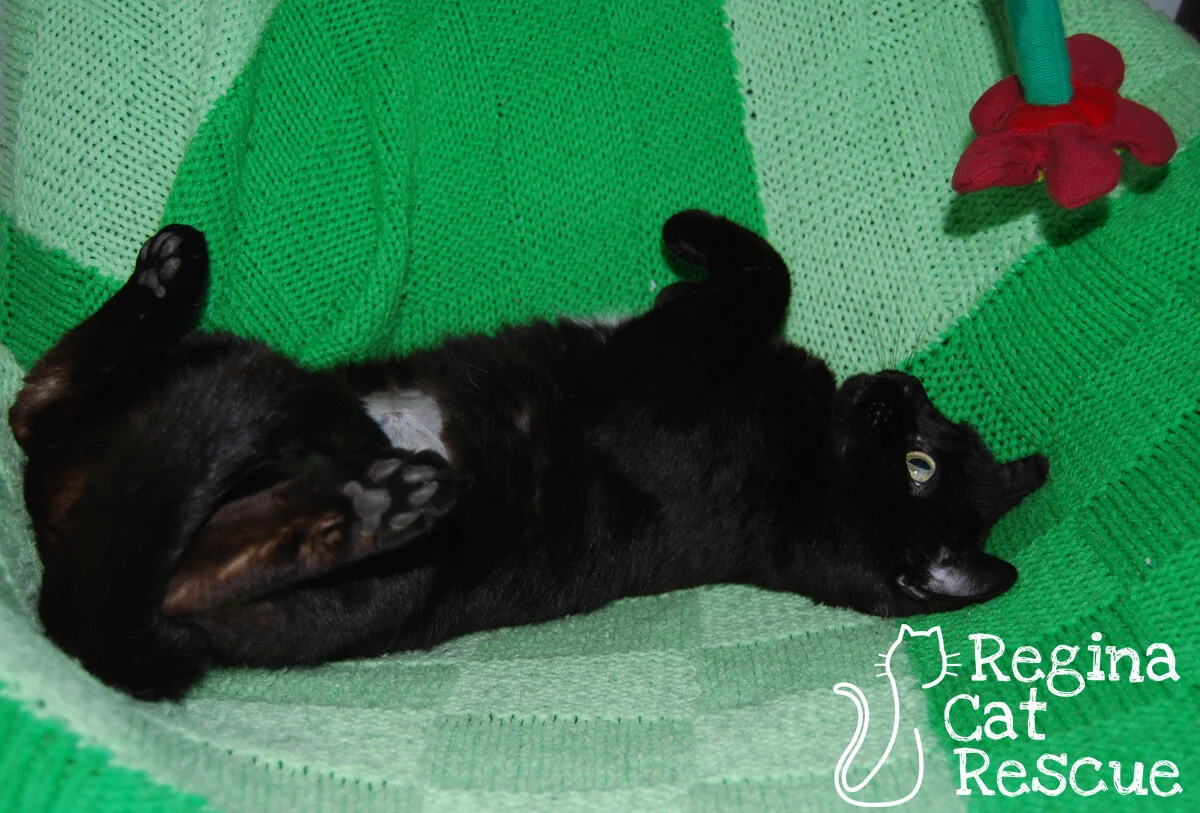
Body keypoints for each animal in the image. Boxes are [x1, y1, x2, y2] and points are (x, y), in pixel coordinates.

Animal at [9, 211, 1049, 700]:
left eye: (918, 464)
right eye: (933, 443)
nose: (900, 389)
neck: (806, 471)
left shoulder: (660, 363)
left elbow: (769, 272)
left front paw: (688, 233)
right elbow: (759, 276)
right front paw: (692, 251)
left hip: (360, 577)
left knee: (181, 561)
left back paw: (379, 503)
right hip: (179, 382)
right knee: (36, 406)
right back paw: (166, 279)